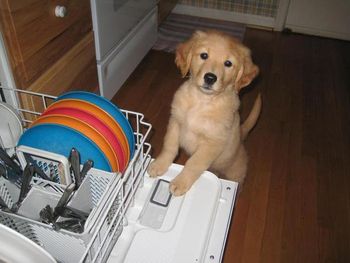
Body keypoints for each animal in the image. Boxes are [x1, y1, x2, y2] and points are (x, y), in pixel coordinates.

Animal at [147, 30, 260, 196]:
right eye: (204, 55)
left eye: (228, 63)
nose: (210, 78)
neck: (201, 101)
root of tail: (241, 133)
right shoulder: (175, 121)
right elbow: (169, 146)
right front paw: (159, 164)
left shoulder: (212, 142)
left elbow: (193, 163)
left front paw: (180, 182)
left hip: (236, 172)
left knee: (238, 181)